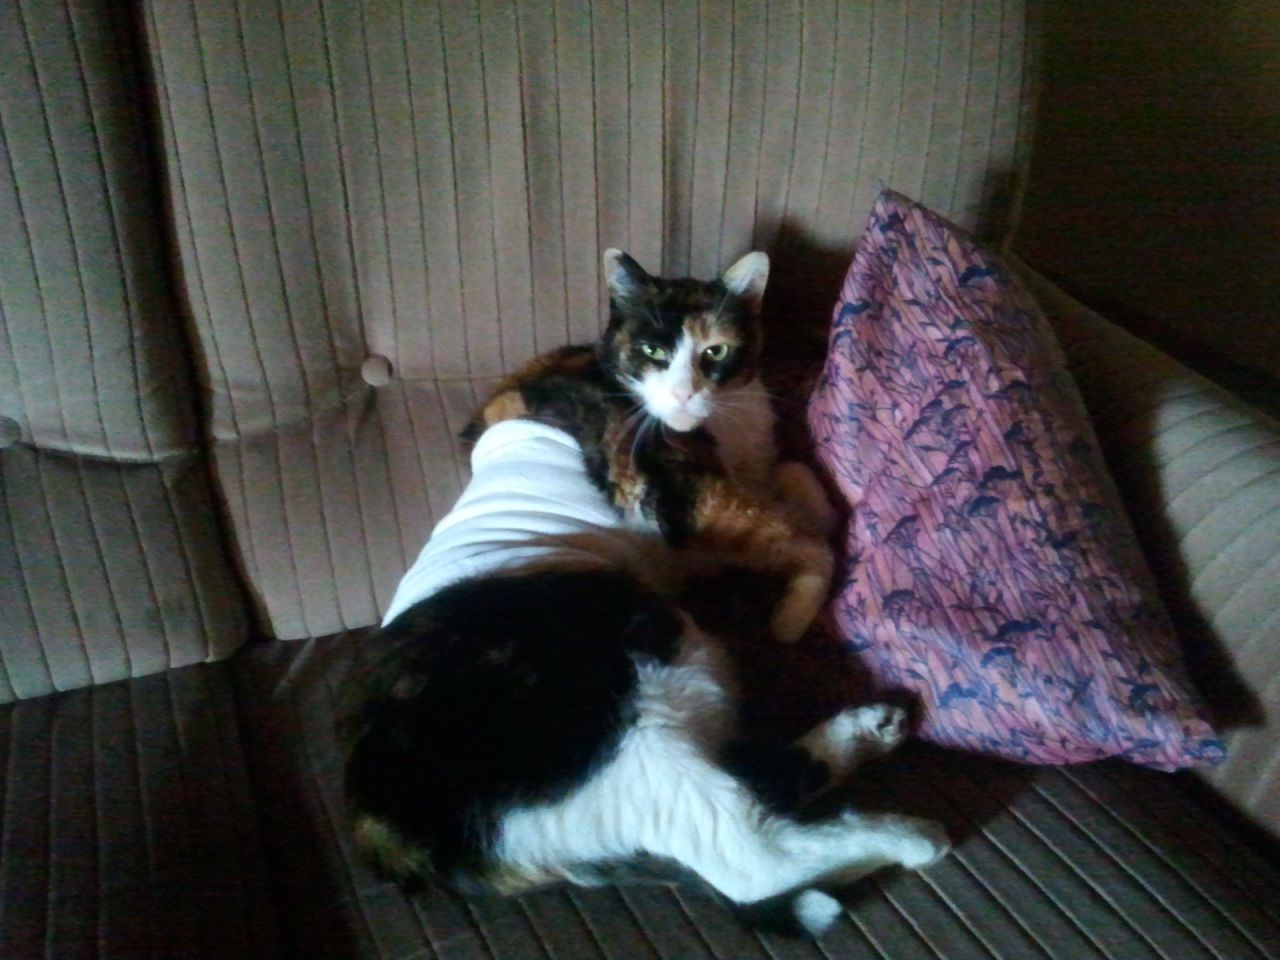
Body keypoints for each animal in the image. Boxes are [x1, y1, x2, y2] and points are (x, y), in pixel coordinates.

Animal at [341, 252, 950, 937]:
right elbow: (802, 535)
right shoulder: (690, 504)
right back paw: (911, 835)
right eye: (655, 351)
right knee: (748, 853)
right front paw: (795, 613)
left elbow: (796, 477)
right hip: (634, 720)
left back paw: (875, 729)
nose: (685, 394)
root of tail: (388, 835)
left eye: (716, 351)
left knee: (760, 787)